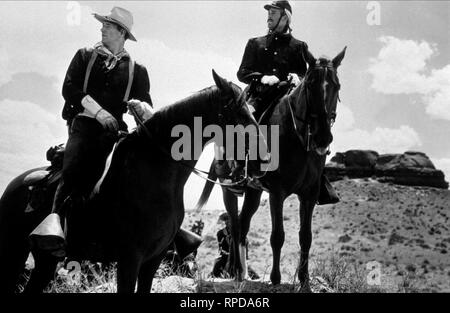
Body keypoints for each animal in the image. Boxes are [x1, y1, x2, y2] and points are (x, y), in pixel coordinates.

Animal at [0, 70, 268, 292]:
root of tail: (15, 184)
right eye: (239, 113)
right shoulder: (130, 259)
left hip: (42, 261)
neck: (155, 173)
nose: (264, 158)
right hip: (17, 252)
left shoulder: (152, 261)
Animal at [195, 47, 346, 292]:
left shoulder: (309, 194)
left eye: (337, 86)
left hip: (253, 192)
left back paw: (241, 272)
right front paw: (275, 279)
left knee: (243, 224)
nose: (323, 137)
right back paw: (234, 270)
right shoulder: (277, 193)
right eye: (310, 84)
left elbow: (306, 237)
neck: (297, 137)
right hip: (229, 189)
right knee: (235, 225)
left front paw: (304, 280)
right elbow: (277, 236)